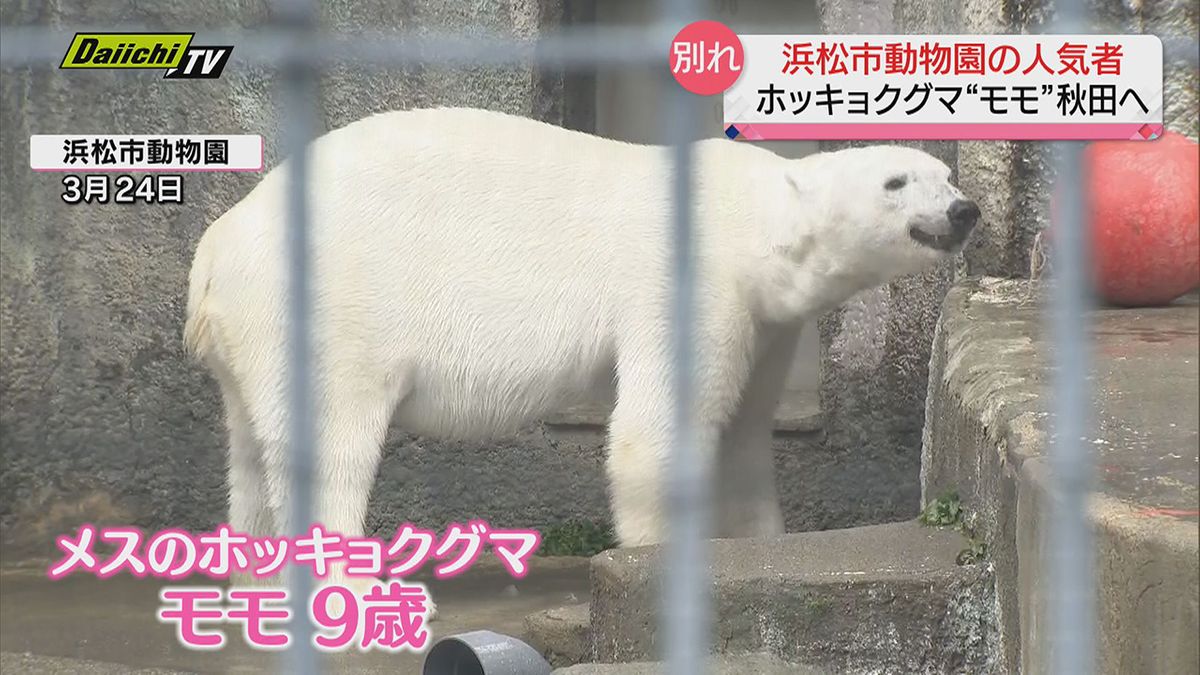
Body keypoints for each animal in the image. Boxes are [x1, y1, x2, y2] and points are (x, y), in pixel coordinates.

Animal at [182, 106, 979, 578]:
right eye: (896, 181)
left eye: (945, 174)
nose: (965, 211)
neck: (750, 220)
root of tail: (219, 243)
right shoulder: (688, 280)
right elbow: (658, 429)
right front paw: (655, 557)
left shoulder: (769, 320)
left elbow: (748, 432)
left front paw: (763, 546)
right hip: (333, 303)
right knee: (328, 438)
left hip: (249, 331)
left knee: (250, 447)